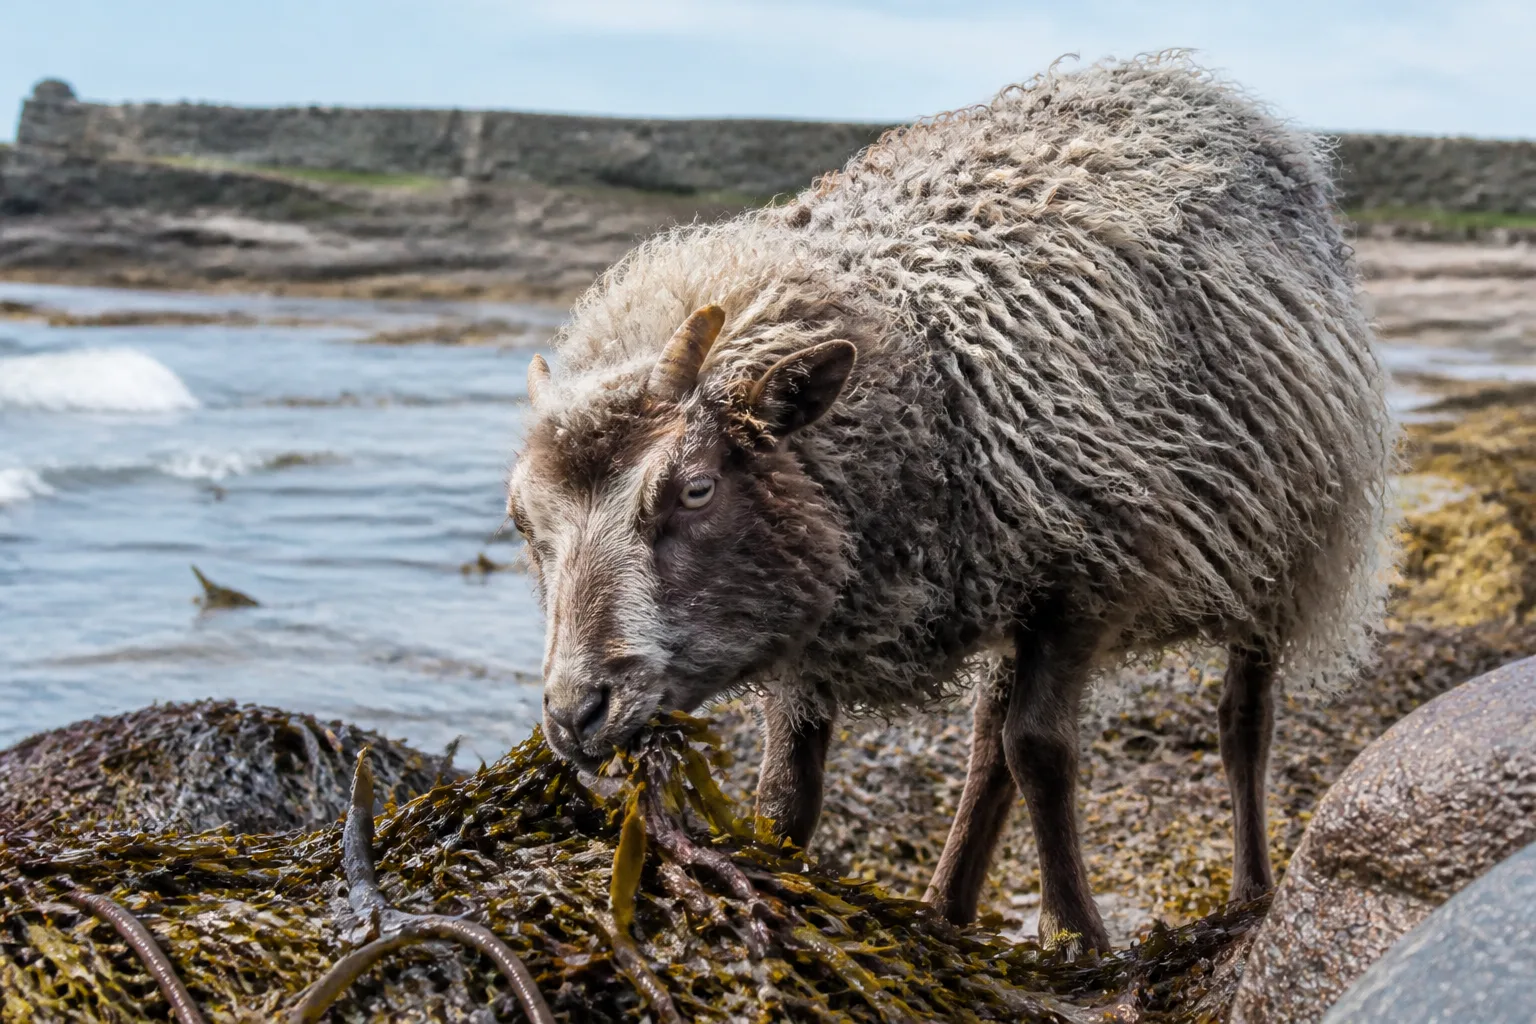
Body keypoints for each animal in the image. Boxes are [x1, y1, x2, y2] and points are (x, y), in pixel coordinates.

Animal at [506, 53, 1395, 952]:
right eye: (524, 523)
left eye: (695, 489)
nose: (575, 713)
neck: (918, 372)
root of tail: (1187, 84)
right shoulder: (819, 617)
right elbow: (790, 790)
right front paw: (781, 884)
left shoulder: (1089, 574)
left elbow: (1041, 749)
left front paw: (1076, 934)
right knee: (985, 745)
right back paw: (946, 907)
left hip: (1282, 546)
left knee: (1240, 720)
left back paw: (1250, 892)